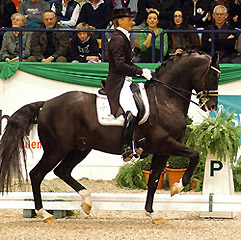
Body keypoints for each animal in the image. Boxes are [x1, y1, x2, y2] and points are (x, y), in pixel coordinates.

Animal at [0, 50, 219, 223]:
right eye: (211, 76)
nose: (212, 106)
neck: (165, 99)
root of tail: (45, 104)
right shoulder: (165, 143)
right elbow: (195, 155)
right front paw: (178, 187)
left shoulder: (162, 150)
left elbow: (154, 180)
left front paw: (152, 213)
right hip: (56, 149)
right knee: (37, 174)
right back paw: (44, 213)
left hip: (81, 148)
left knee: (62, 171)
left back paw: (87, 202)